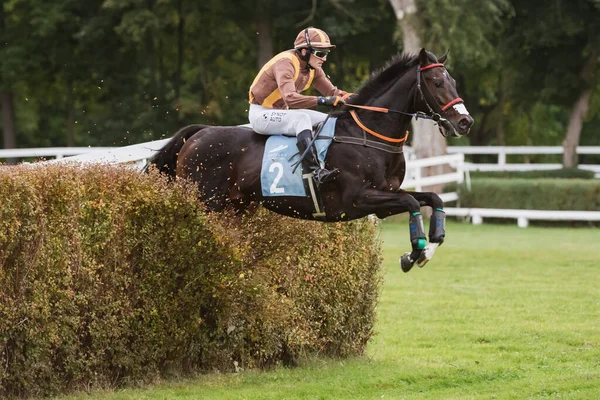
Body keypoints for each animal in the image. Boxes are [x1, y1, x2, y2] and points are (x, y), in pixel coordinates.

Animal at [144, 47, 474, 272]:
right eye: (437, 82)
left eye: (454, 81)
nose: (465, 122)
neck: (369, 134)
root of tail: (198, 133)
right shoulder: (359, 198)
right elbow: (411, 201)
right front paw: (414, 253)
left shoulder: (384, 197)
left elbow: (431, 198)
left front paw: (430, 245)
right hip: (205, 203)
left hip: (236, 208)